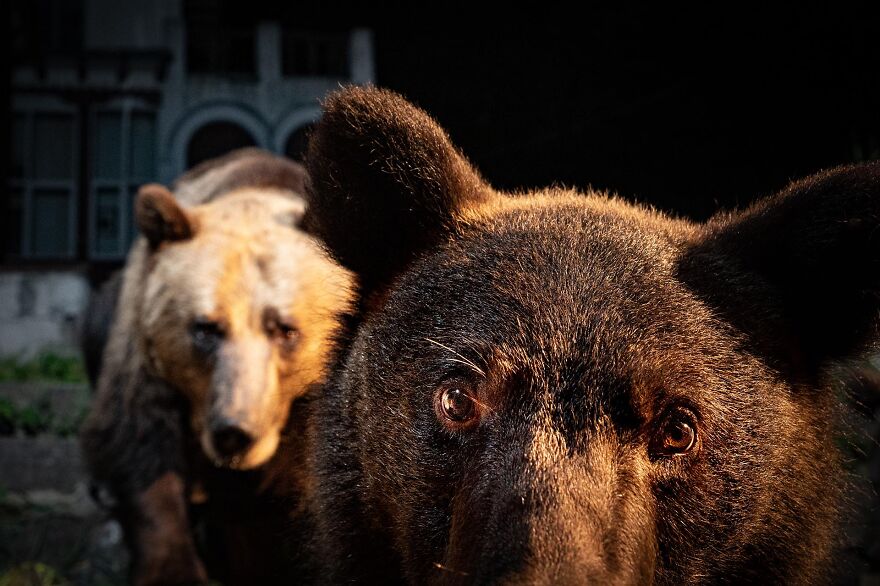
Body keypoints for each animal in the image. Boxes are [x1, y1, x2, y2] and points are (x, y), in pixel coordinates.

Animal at [79, 149, 354, 585]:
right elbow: (141, 444)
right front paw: (174, 569)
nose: (234, 433)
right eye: (206, 328)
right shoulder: (144, 355)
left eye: (285, 329)